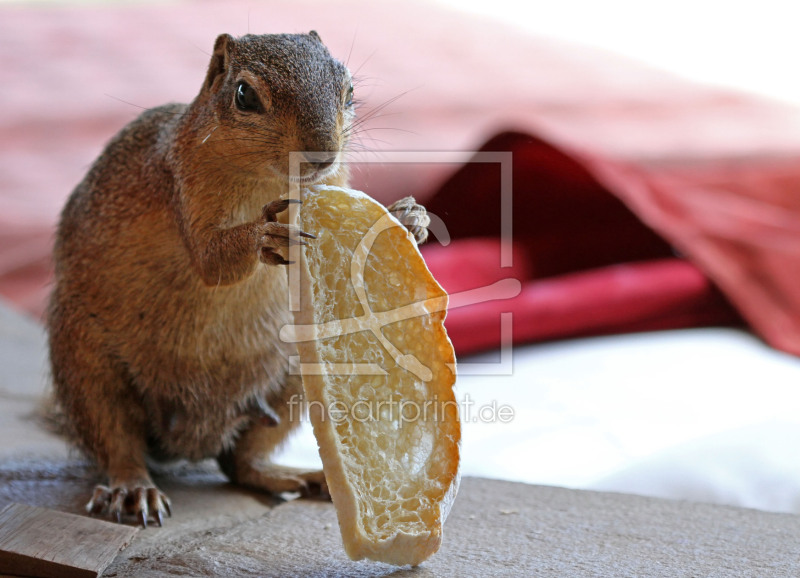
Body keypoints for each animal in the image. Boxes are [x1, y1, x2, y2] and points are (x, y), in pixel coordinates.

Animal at [46, 32, 428, 528]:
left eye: (350, 93)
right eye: (244, 95)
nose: (322, 152)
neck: (268, 180)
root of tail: (193, 438)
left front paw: (408, 218)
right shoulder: (182, 185)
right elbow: (211, 260)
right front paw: (262, 236)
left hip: (295, 379)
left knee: (240, 464)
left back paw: (300, 476)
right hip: (85, 368)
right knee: (117, 444)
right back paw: (134, 489)